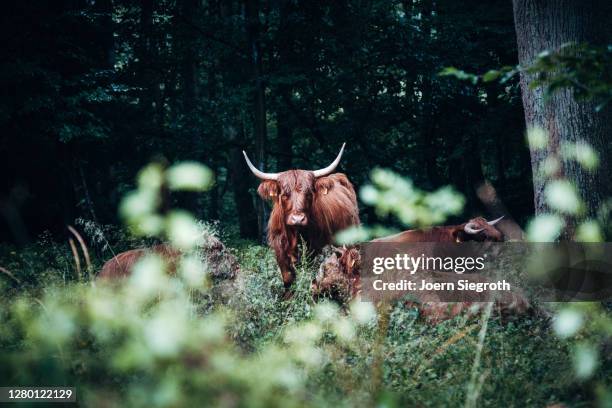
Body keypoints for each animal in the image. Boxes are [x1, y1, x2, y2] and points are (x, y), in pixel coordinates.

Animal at [243, 143, 358, 290]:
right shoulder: (279, 249)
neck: (295, 235)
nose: (298, 219)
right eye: (284, 194)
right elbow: (288, 278)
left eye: (309, 193)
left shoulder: (317, 249)